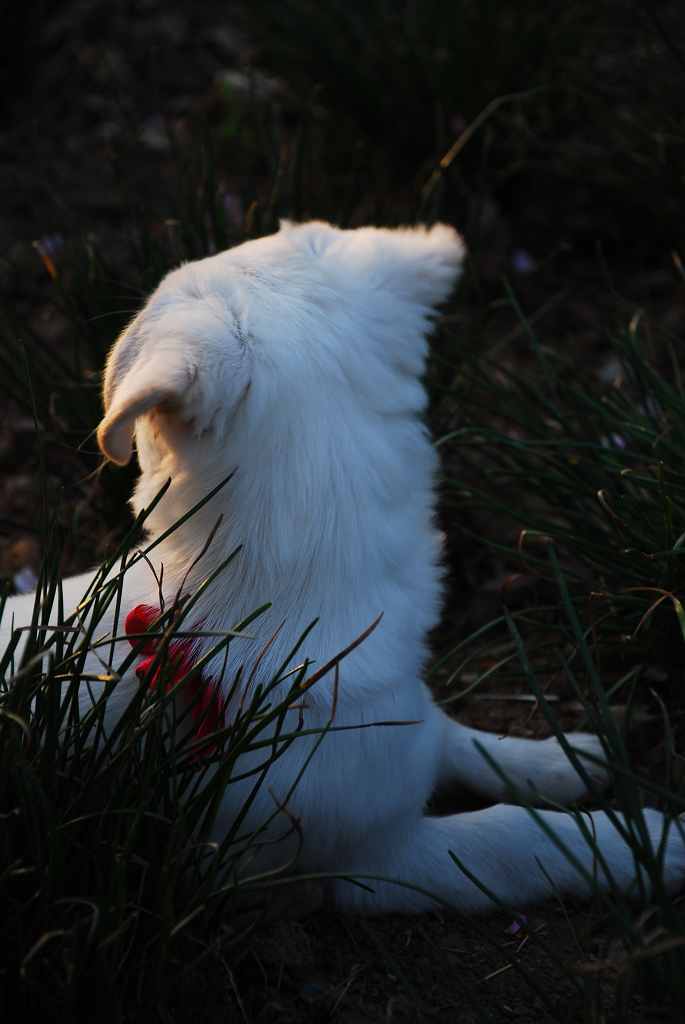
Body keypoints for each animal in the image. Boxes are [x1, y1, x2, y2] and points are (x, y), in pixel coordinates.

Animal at [2, 218, 679, 913]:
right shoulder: (370, 862)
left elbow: (457, 738)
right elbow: (513, 838)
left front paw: (560, 759)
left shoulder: (404, 732)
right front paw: (639, 843)